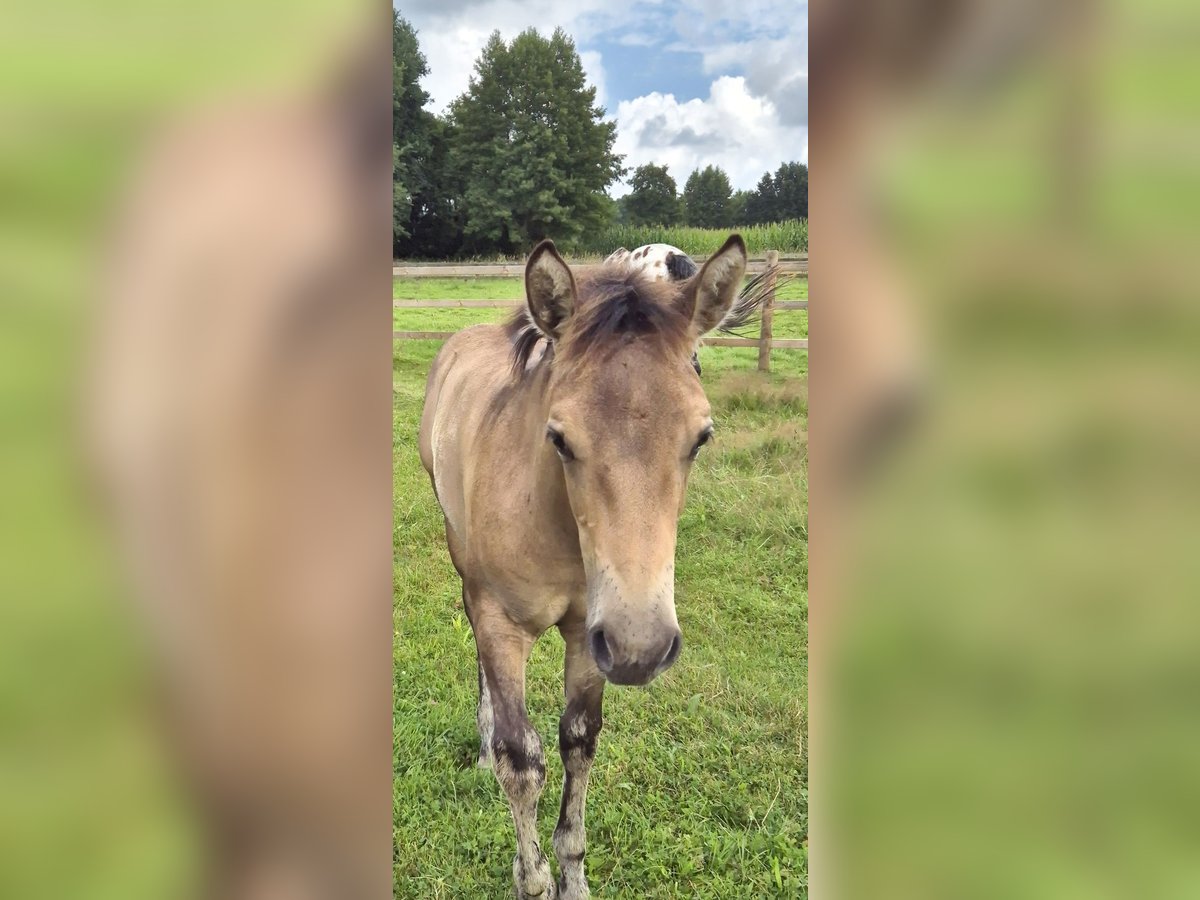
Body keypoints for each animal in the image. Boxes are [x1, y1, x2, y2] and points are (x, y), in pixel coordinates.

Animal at [418, 235, 749, 899]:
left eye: (701, 437)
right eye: (560, 438)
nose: (641, 647)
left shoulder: (587, 632)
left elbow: (578, 741)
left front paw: (572, 877)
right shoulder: (503, 622)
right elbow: (521, 760)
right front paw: (532, 879)